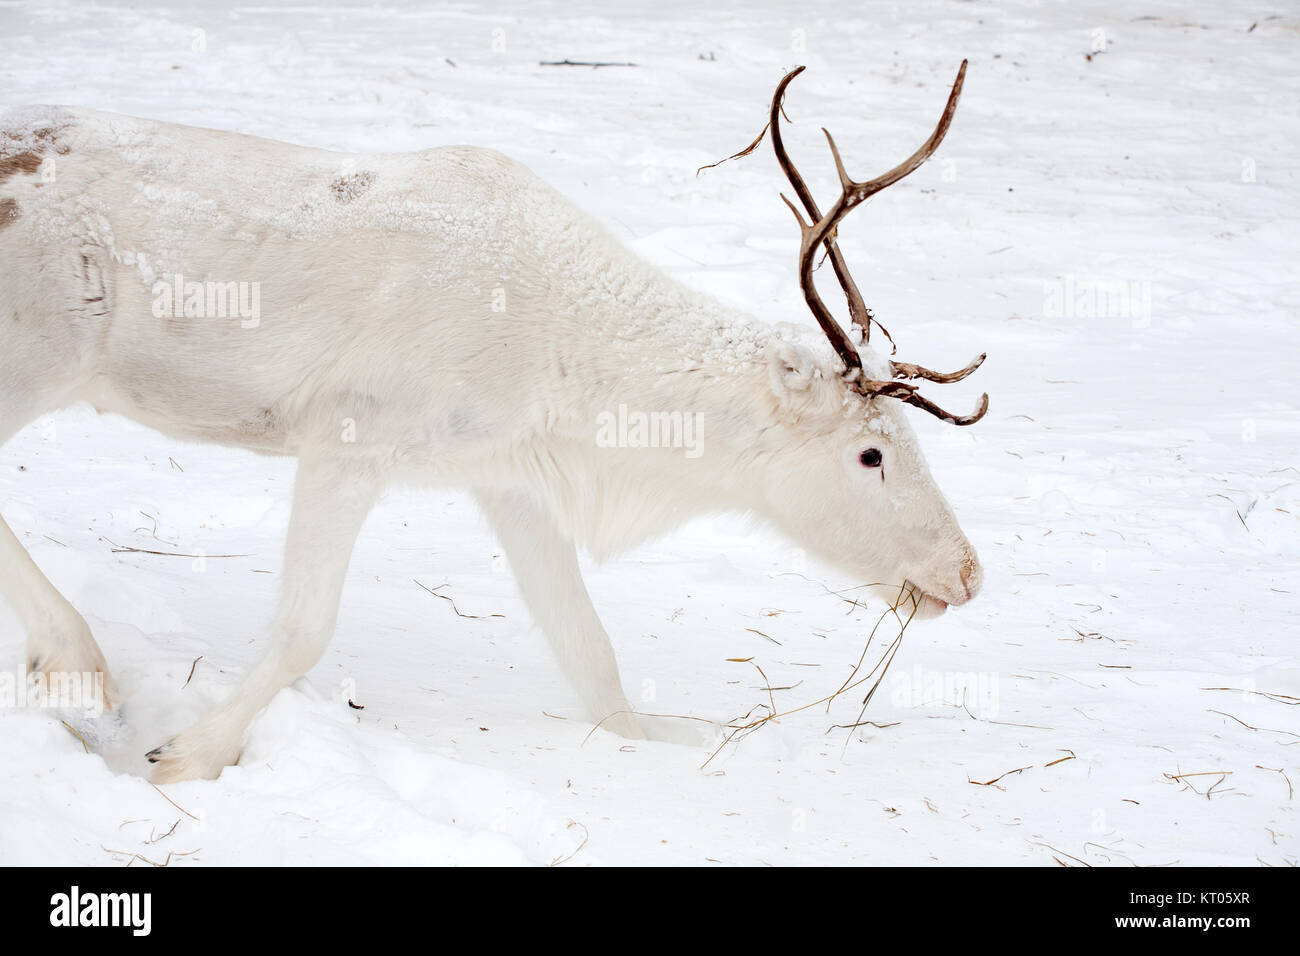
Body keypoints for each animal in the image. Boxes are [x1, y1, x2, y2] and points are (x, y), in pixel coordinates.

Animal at [0, 62, 987, 782]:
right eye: (871, 454)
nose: (968, 572)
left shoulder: (512, 483)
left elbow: (594, 658)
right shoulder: (347, 437)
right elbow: (303, 629)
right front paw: (185, 757)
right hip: (35, 356)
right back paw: (76, 660)